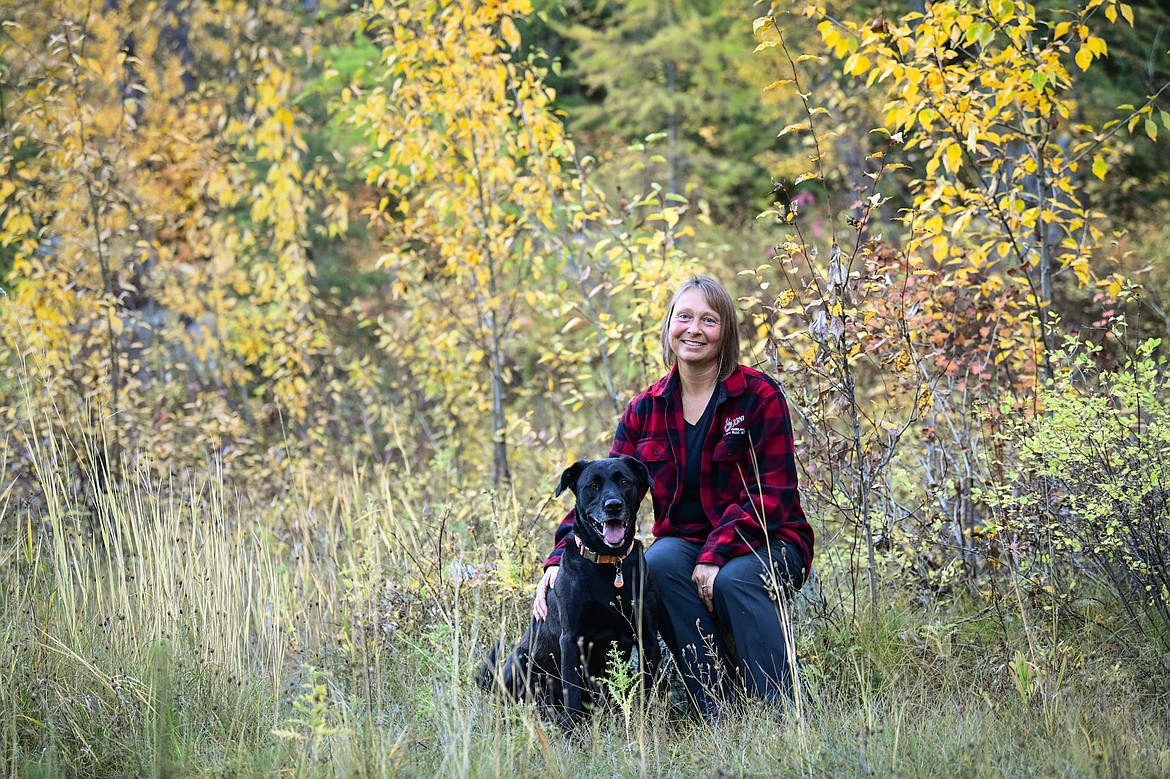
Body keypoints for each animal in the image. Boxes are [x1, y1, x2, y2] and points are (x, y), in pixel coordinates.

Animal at [475, 451, 659, 725]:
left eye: (625, 482)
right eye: (592, 485)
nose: (613, 506)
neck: (609, 564)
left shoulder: (646, 635)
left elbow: (648, 690)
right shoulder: (571, 639)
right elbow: (572, 693)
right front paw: (572, 730)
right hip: (521, 660)